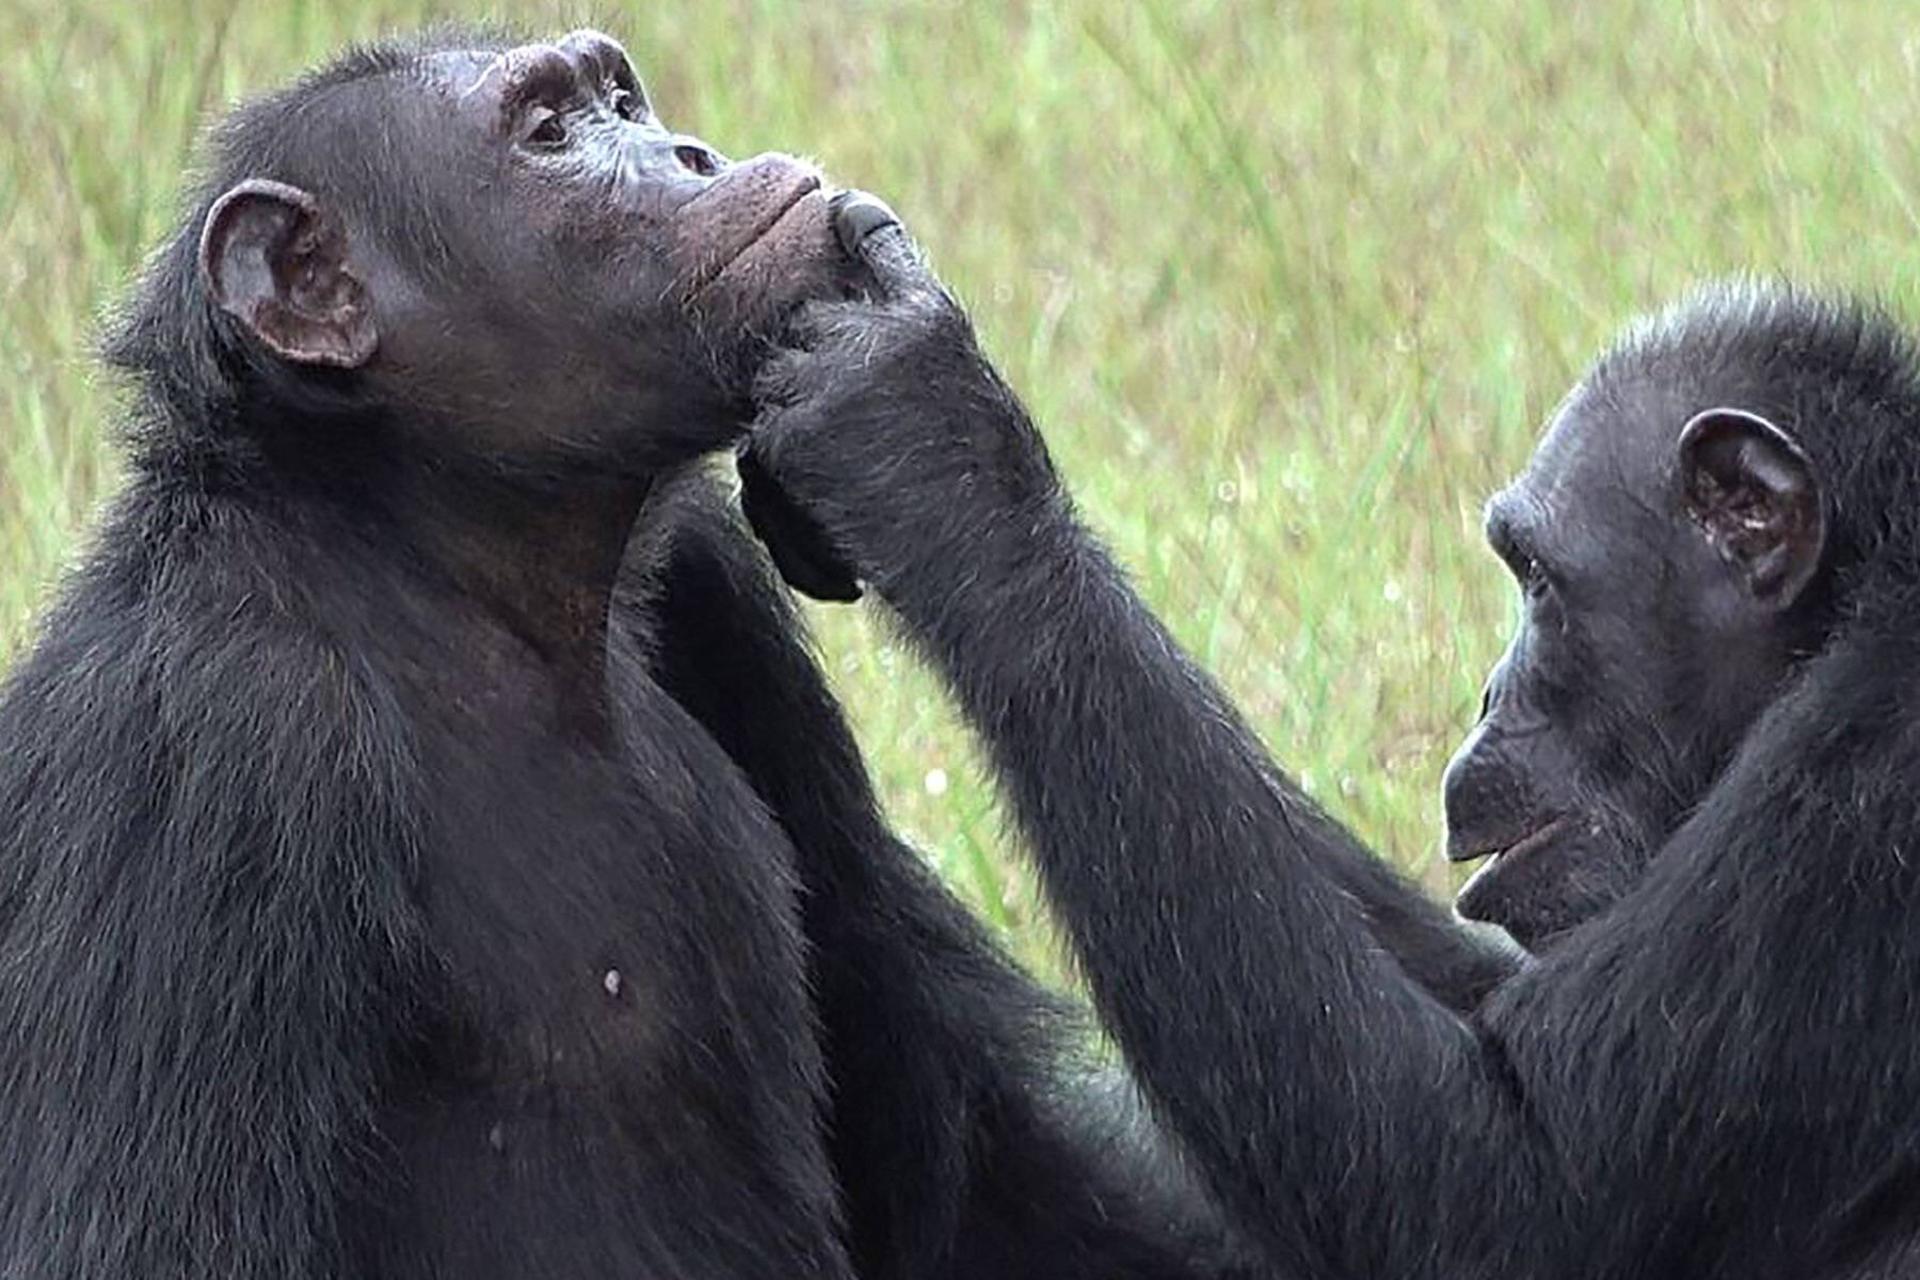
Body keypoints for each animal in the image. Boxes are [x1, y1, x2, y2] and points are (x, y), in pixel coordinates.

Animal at [0, 29, 1290, 1280]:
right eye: (548, 132)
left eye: (619, 99)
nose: (687, 153)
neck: (438, 556)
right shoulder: (208, 747)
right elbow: (146, 1242)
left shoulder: (719, 590)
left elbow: (976, 1171)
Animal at [741, 195, 1920, 1274]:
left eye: (1537, 577)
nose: (1489, 693)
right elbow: (1475, 988)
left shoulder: (1864, 793)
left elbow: (1508, 1188)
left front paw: (928, 444)